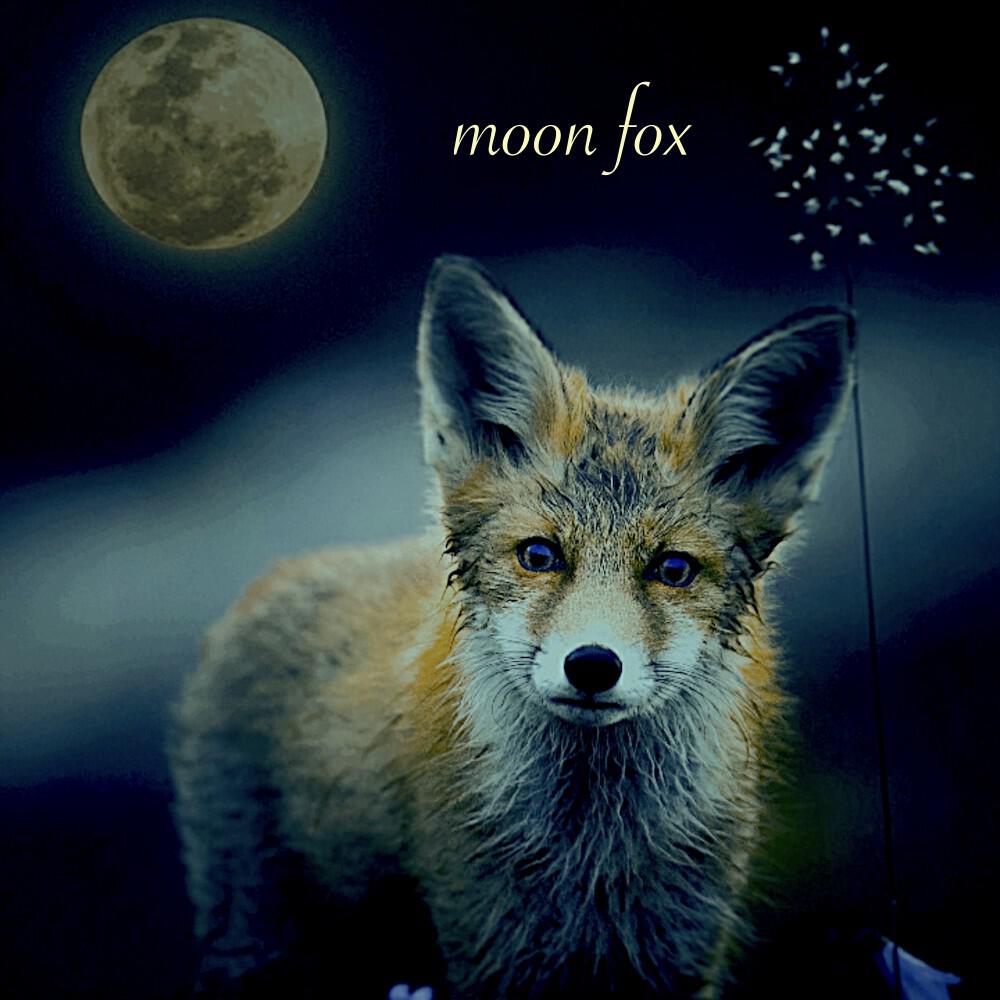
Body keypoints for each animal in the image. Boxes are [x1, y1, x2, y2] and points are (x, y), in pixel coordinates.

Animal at [169, 255, 854, 999]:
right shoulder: (488, 951)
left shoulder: (680, 956)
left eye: (673, 569)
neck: (593, 858)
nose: (592, 665)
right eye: (538, 555)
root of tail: (282, 572)